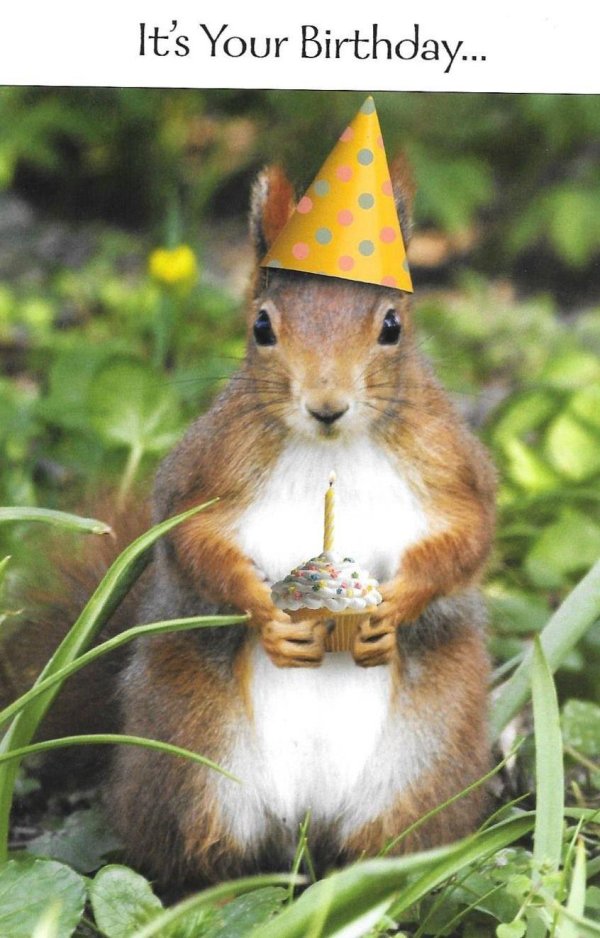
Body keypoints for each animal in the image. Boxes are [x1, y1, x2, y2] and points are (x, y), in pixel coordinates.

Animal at [4, 157, 496, 887]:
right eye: (262, 327)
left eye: (392, 327)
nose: (327, 405)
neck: (329, 447)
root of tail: (310, 817)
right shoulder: (204, 471)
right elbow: (192, 542)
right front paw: (268, 617)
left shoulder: (452, 465)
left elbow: (470, 534)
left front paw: (397, 606)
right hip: (191, 762)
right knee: (202, 863)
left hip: (425, 767)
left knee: (384, 854)